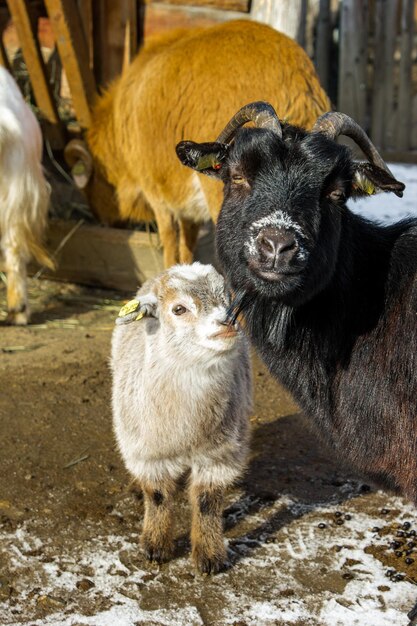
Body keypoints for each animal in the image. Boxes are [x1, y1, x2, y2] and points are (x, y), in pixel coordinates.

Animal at [65, 18, 330, 266]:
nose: (100, 219)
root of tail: (298, 85)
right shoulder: (186, 204)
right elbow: (187, 243)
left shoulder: (156, 193)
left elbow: (169, 241)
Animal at [110, 260, 252, 572]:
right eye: (179, 309)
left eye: (228, 297)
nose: (227, 323)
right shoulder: (148, 454)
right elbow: (158, 497)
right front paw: (155, 546)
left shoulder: (219, 456)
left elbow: (208, 503)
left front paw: (209, 555)